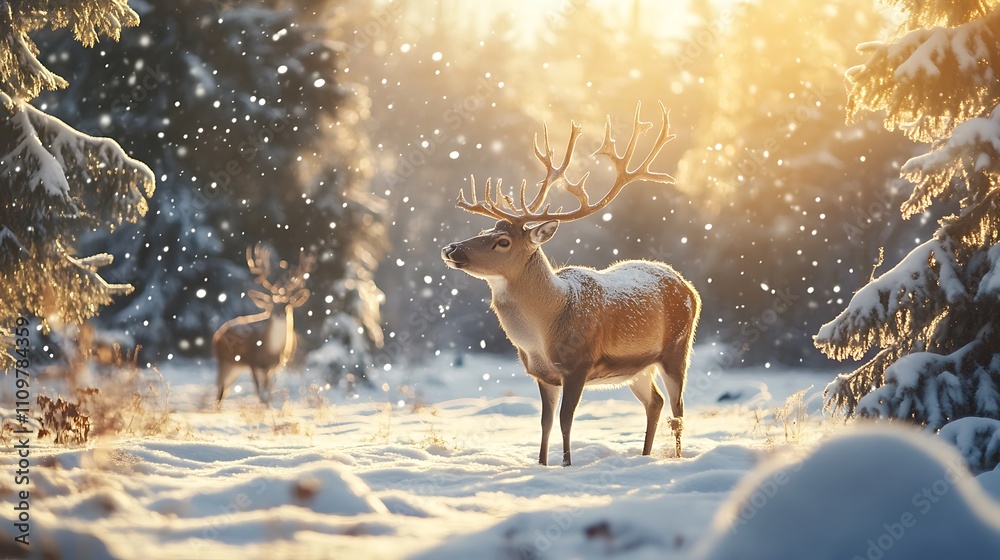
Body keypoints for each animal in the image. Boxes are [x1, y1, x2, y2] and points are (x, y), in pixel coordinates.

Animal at [213, 244, 313, 406]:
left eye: (287, 305)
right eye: (272, 304)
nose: (279, 315)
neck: (269, 350)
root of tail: (217, 335)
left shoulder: (274, 366)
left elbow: (268, 392)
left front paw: (269, 406)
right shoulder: (253, 362)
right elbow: (259, 392)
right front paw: (264, 406)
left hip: (235, 367)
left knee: (225, 389)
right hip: (224, 361)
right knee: (220, 389)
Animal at [441, 102, 700, 466]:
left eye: (503, 242)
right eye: (483, 231)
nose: (451, 249)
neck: (544, 330)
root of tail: (689, 286)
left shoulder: (579, 363)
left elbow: (566, 420)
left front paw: (566, 464)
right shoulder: (542, 374)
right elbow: (545, 422)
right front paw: (541, 464)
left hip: (677, 349)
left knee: (677, 409)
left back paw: (674, 458)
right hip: (638, 368)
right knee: (655, 402)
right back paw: (644, 456)